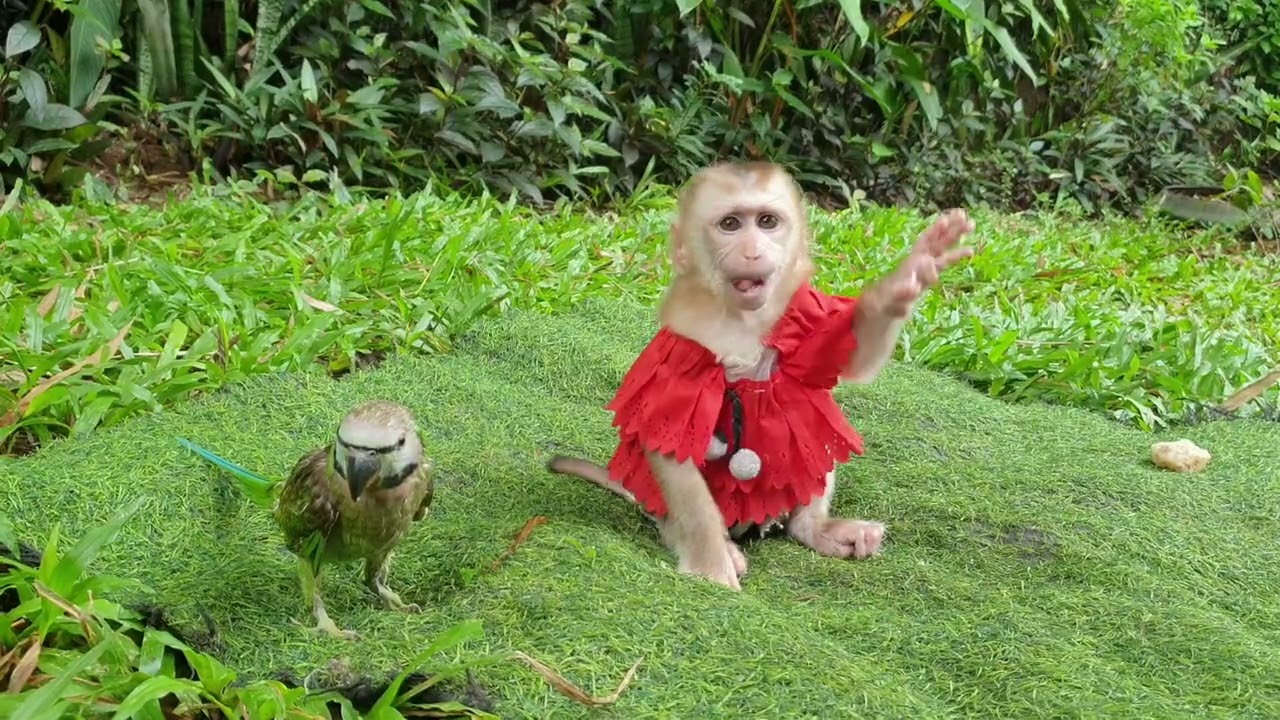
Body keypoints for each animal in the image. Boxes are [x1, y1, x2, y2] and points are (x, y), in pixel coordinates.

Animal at [548, 161, 975, 590]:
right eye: (731, 224)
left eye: (767, 222)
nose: (753, 252)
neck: (740, 318)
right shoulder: (681, 350)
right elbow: (670, 440)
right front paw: (711, 564)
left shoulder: (804, 308)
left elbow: (850, 358)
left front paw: (903, 282)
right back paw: (717, 543)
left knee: (809, 412)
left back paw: (814, 528)